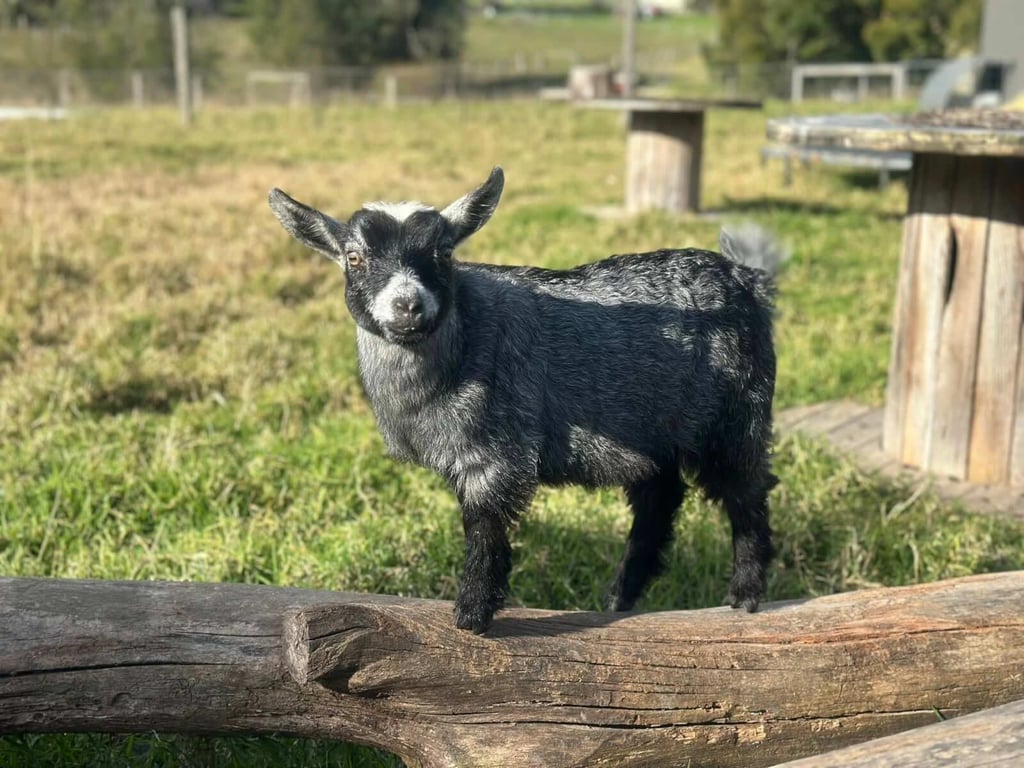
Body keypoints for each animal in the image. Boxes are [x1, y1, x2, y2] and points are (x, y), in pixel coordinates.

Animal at [269, 167, 781, 634]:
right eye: (354, 257)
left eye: (443, 252)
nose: (408, 306)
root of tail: (747, 278)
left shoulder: (496, 452)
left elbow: (485, 530)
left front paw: (472, 616)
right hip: (657, 428)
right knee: (661, 498)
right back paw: (620, 598)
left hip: (736, 412)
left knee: (746, 491)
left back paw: (745, 594)